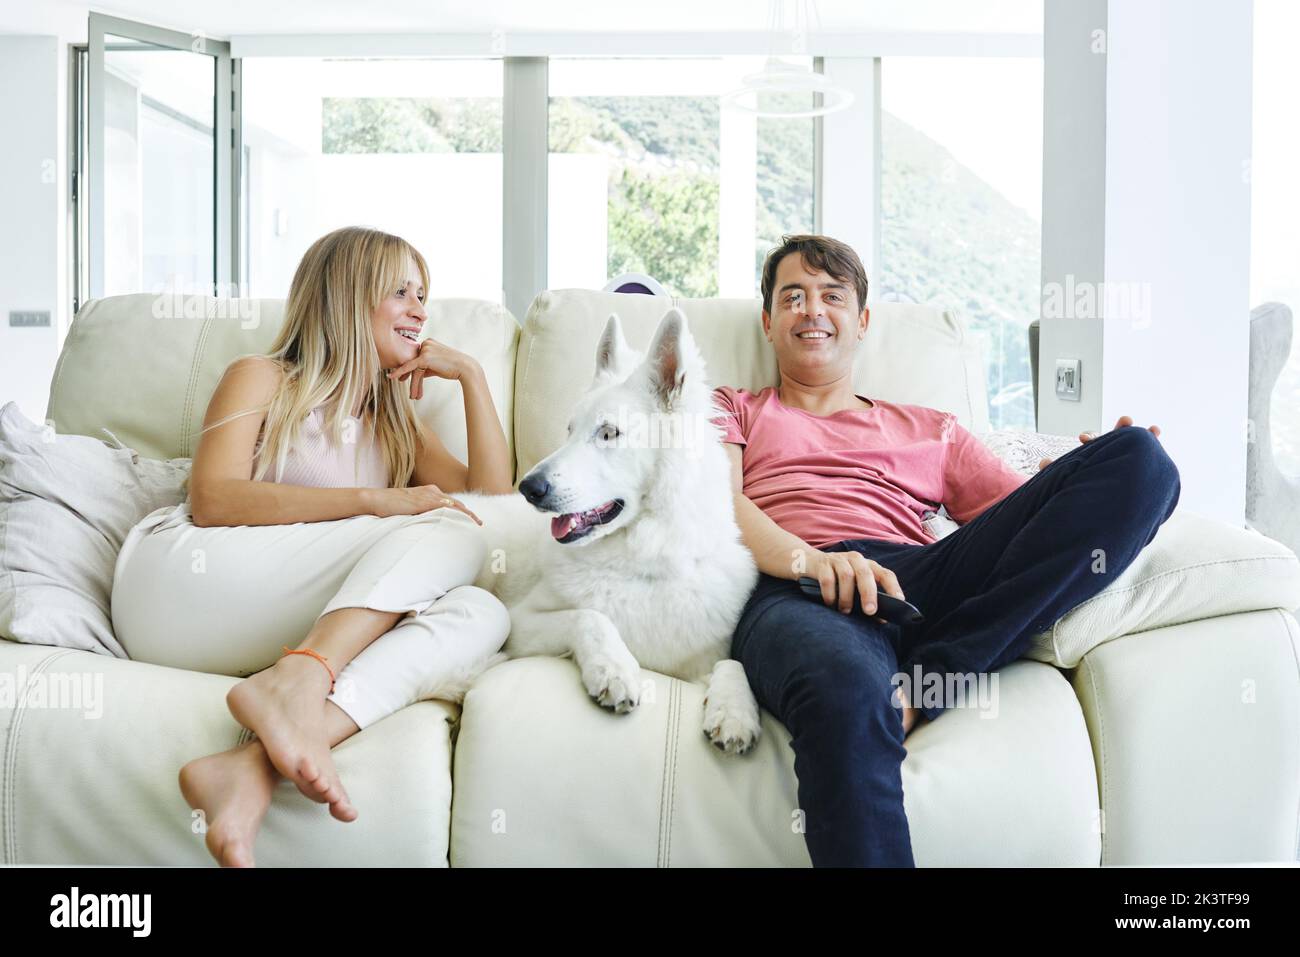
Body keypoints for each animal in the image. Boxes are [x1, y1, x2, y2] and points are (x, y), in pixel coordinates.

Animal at [457, 306, 759, 754]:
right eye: (568, 430)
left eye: (609, 433)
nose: (529, 487)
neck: (644, 568)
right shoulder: (521, 623)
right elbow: (590, 616)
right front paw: (615, 669)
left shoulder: (703, 659)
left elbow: (734, 662)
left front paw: (735, 710)